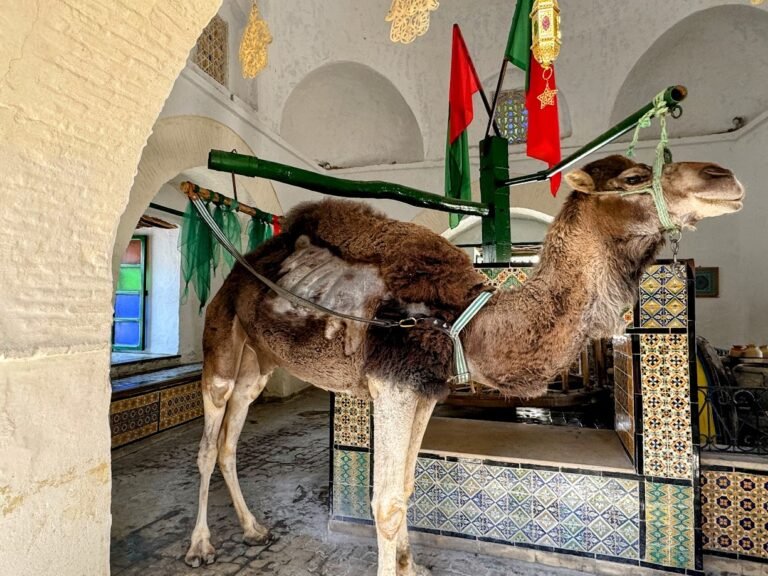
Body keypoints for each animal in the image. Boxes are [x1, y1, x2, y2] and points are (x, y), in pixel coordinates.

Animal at [184, 155, 743, 575]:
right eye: (631, 178)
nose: (724, 177)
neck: (467, 322)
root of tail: (238, 272)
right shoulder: (392, 386)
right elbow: (386, 502)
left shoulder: (425, 391)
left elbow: (407, 488)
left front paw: (411, 566)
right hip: (222, 339)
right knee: (210, 443)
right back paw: (200, 548)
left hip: (258, 361)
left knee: (232, 438)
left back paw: (253, 529)